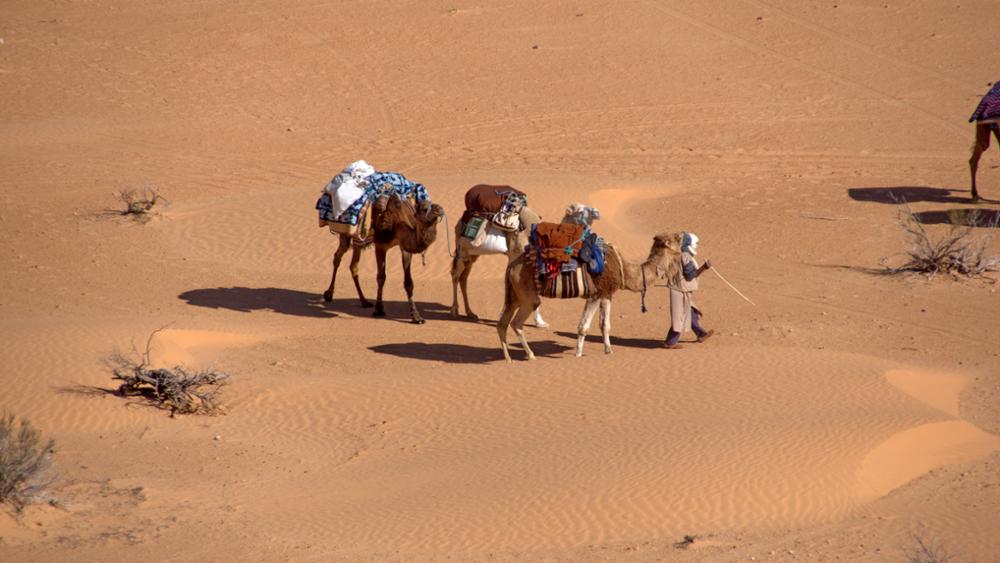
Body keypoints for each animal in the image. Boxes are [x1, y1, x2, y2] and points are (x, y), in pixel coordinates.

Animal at [324, 194, 442, 324]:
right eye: (424, 209)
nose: (439, 209)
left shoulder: (405, 247)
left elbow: (408, 282)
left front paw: (416, 316)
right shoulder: (380, 245)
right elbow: (381, 277)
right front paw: (378, 310)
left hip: (359, 239)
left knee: (353, 265)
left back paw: (364, 301)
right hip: (346, 232)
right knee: (337, 257)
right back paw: (329, 294)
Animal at [452, 199, 600, 330]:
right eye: (580, 211)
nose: (597, 212)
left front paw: (540, 322)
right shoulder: (516, 256)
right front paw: (508, 315)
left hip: (472, 255)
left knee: (463, 278)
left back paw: (470, 312)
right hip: (462, 250)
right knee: (455, 275)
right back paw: (455, 310)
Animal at [496, 231, 684, 364]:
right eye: (675, 238)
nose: (683, 235)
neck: (623, 267)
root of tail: (511, 266)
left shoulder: (607, 294)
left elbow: (605, 325)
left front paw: (608, 351)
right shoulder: (595, 294)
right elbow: (583, 326)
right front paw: (578, 355)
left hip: (515, 295)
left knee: (502, 323)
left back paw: (508, 359)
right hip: (528, 296)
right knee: (517, 323)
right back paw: (530, 355)